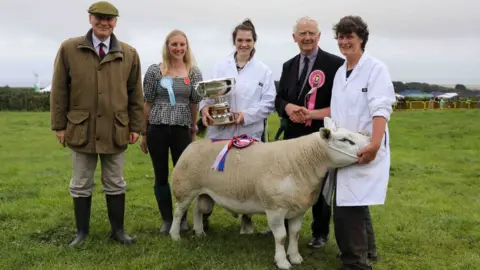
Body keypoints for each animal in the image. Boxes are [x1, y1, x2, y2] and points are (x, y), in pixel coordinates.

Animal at [169, 118, 372, 270]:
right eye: (345, 140)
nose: (370, 144)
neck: (303, 161)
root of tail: (194, 144)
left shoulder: (299, 208)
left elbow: (295, 233)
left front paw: (295, 257)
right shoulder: (275, 208)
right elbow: (281, 236)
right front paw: (282, 262)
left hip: (204, 192)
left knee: (198, 210)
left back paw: (200, 233)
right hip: (184, 187)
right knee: (179, 211)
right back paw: (175, 235)